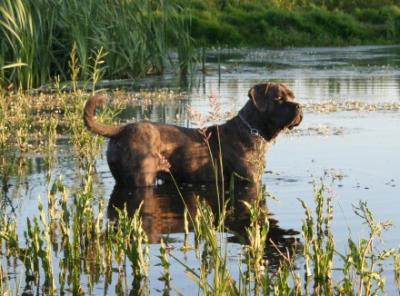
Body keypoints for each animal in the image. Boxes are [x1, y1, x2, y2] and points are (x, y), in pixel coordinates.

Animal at [85, 82, 304, 186]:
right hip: (142, 175)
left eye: (292, 95)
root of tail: (121, 129)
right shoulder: (250, 179)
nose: (299, 106)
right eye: (279, 98)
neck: (253, 130)